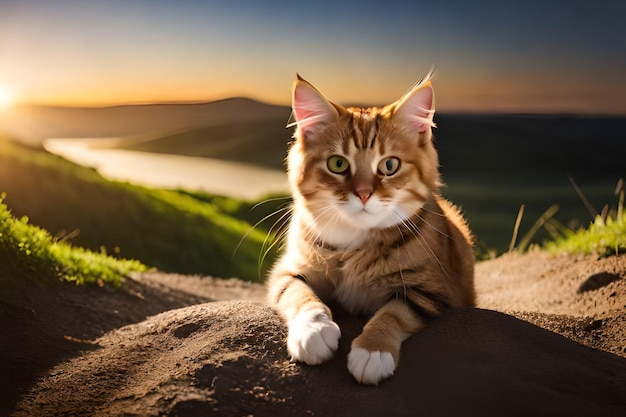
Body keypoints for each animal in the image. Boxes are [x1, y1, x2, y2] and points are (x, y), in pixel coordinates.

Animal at [264, 70, 472, 384]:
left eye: (389, 166)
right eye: (338, 164)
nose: (363, 194)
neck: (353, 247)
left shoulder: (433, 291)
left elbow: (392, 312)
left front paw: (373, 349)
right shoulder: (287, 272)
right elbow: (302, 296)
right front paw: (314, 331)